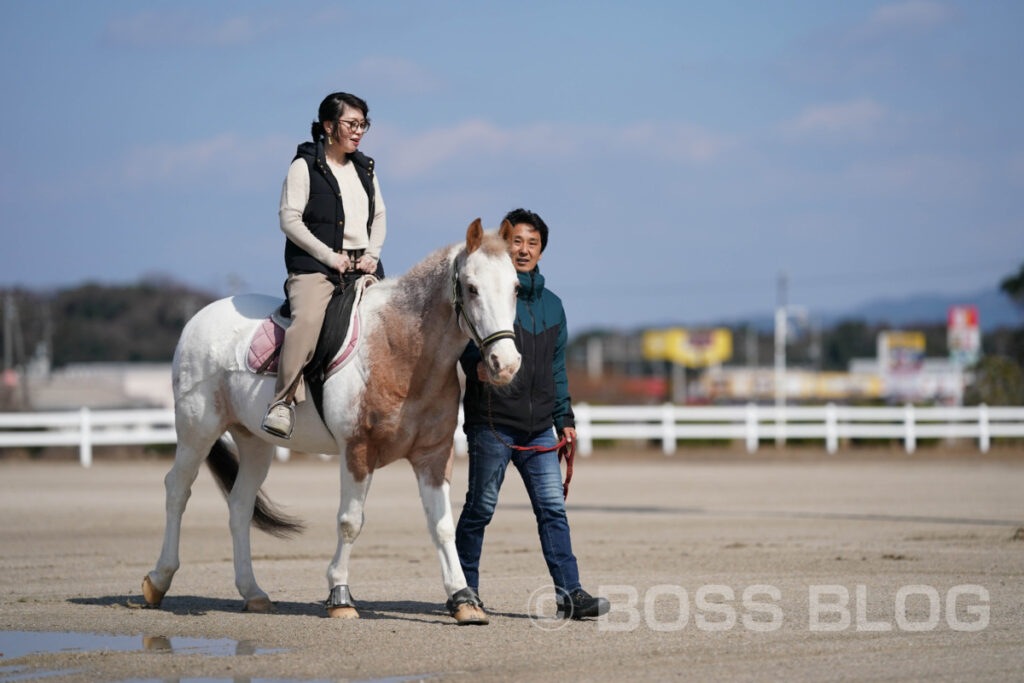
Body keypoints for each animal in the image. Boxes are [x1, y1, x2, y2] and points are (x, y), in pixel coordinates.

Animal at [142, 220, 520, 626]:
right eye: (472, 287)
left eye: (516, 287)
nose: (506, 364)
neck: (399, 348)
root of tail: (198, 318)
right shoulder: (357, 451)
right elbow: (350, 521)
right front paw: (340, 595)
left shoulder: (433, 456)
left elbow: (443, 526)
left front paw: (463, 599)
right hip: (197, 429)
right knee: (177, 490)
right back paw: (158, 581)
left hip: (254, 442)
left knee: (240, 505)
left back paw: (253, 593)